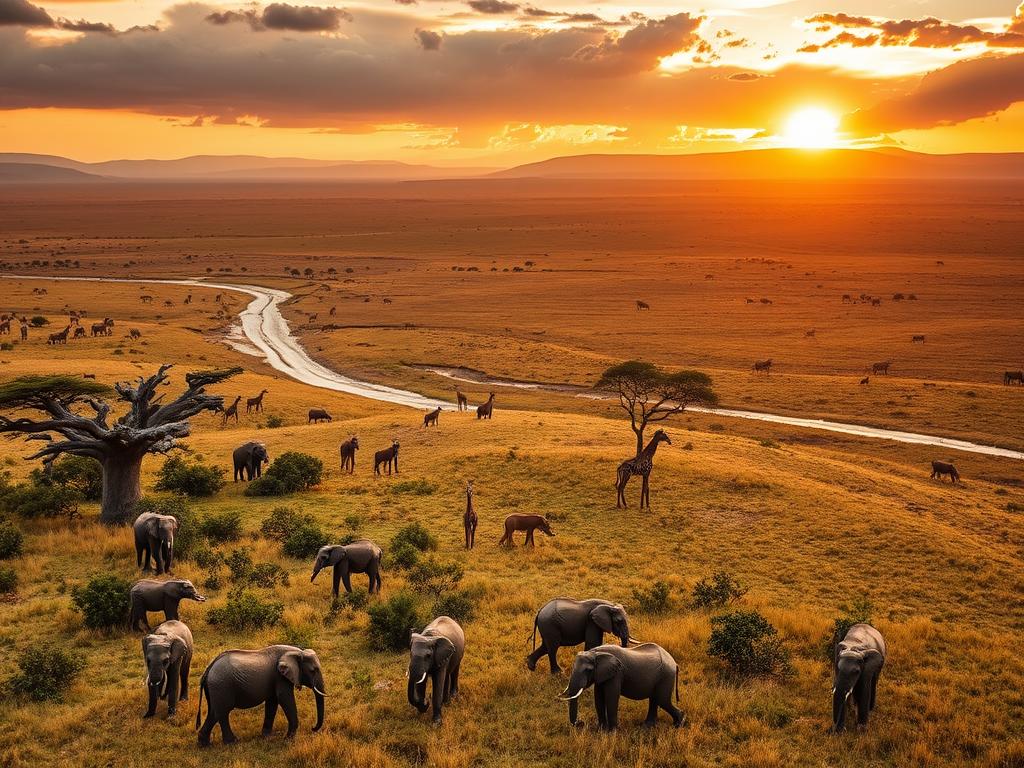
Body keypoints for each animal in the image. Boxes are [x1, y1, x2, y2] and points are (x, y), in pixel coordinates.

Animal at [196, 645, 327, 746]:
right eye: (313, 671)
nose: (313, 728)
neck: (297, 651)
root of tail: (208, 669)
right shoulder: (280, 677)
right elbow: (284, 698)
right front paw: (288, 740)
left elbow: (272, 703)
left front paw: (266, 736)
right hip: (222, 685)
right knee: (223, 712)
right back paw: (233, 742)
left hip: (216, 688)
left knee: (214, 712)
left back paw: (204, 744)